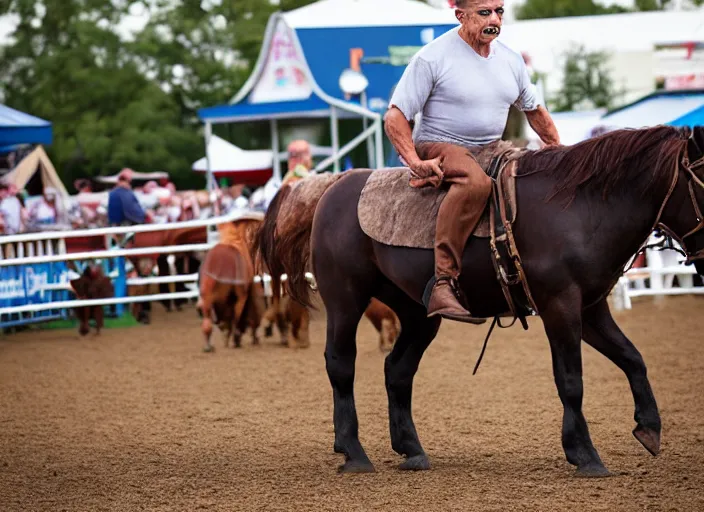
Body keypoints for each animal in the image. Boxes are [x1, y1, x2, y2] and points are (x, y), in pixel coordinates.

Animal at [258, 126, 704, 478]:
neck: (580, 207)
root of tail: (330, 187)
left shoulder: (591, 308)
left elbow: (632, 358)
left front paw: (649, 428)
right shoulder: (560, 307)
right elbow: (571, 381)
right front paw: (584, 454)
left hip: (419, 315)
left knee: (397, 370)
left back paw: (411, 450)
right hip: (345, 300)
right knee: (341, 366)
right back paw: (353, 453)